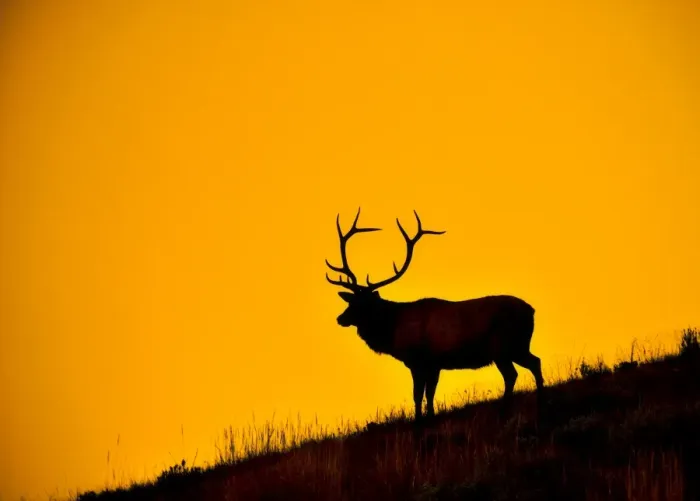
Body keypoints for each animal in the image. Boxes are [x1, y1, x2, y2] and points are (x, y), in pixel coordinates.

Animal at [325, 208, 545, 421]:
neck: (393, 330)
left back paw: (505, 411)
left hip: (503, 346)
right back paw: (540, 403)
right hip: (518, 346)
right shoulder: (434, 364)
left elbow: (418, 394)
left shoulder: (419, 361)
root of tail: (531, 311)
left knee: (512, 374)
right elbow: (430, 393)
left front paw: (419, 421)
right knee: (535, 362)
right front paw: (430, 416)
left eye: (363, 304)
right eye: (350, 300)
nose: (340, 318)